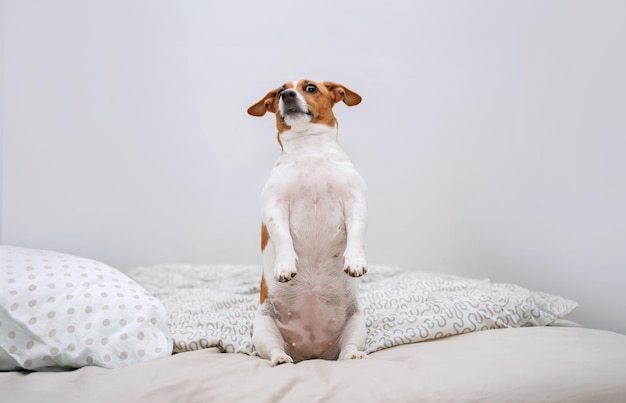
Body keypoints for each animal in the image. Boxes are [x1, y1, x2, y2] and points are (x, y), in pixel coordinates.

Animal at [246, 79, 368, 366]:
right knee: (274, 350)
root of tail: (311, 352)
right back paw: (280, 359)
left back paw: (353, 355)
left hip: (357, 322)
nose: (287, 95)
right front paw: (285, 265)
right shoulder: (275, 207)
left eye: (310, 88)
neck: (309, 151)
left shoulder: (355, 203)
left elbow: (356, 234)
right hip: (263, 327)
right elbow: (283, 237)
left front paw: (355, 261)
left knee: (347, 349)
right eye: (280, 91)